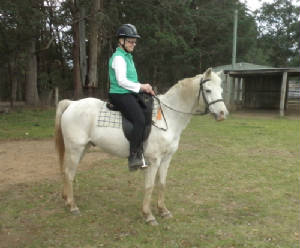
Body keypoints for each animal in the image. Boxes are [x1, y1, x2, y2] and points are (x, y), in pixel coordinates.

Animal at [54, 67, 227, 225]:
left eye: (221, 90)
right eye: (208, 90)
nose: (223, 114)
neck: (168, 117)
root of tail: (72, 104)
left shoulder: (166, 159)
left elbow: (162, 183)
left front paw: (163, 211)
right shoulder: (154, 161)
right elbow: (149, 186)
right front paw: (148, 215)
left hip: (83, 148)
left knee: (68, 172)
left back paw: (66, 199)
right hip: (75, 149)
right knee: (69, 173)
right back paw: (72, 206)